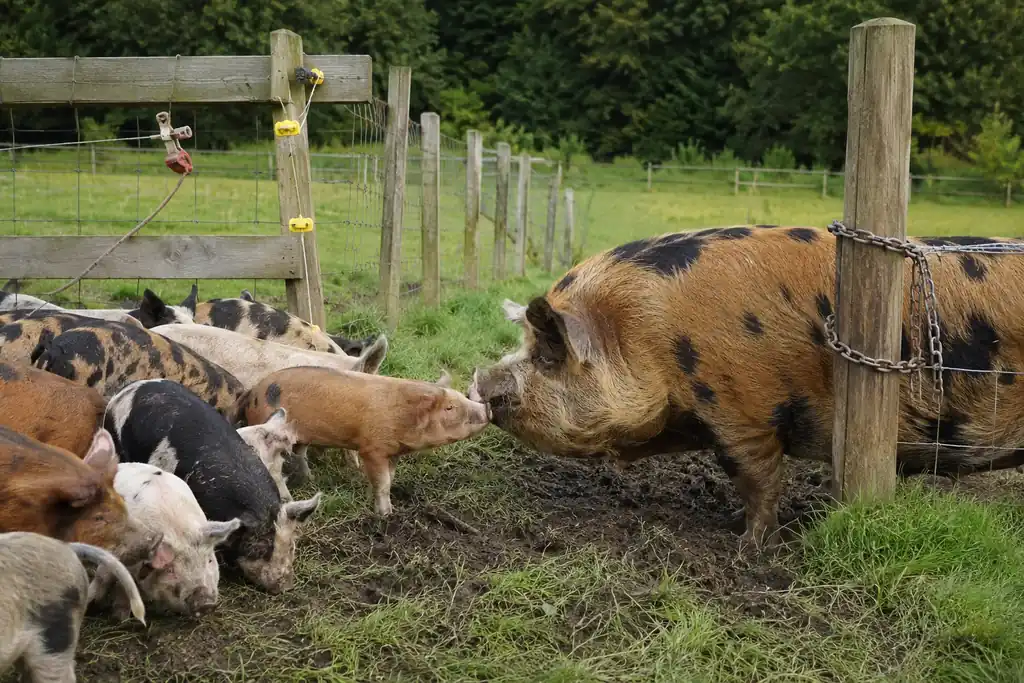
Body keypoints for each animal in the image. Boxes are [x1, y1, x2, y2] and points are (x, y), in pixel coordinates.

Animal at [239, 366, 491, 516]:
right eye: (450, 408)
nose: (487, 407)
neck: (402, 418)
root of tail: (252, 392)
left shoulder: (392, 451)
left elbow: (388, 478)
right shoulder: (372, 448)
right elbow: (383, 482)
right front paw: (386, 515)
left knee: (300, 455)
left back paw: (310, 480)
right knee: (276, 469)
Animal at [467, 225, 1024, 551]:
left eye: (548, 354)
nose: (480, 380)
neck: (643, 333)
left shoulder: (743, 409)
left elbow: (758, 480)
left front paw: (743, 544)